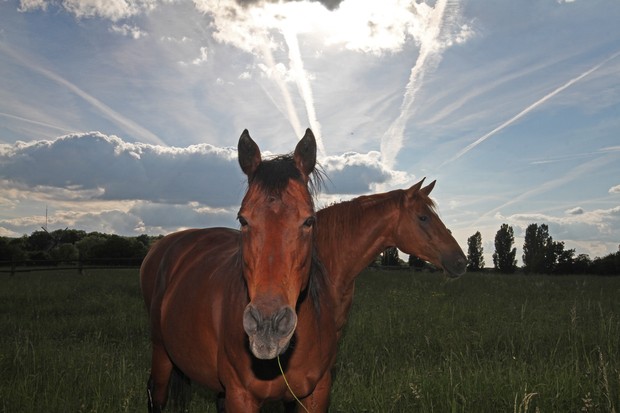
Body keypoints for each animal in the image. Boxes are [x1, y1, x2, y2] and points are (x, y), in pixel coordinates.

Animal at [140, 130, 336, 412]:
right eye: (243, 220)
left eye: (309, 220)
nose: (267, 326)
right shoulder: (241, 396)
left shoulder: (316, 394)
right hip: (161, 352)